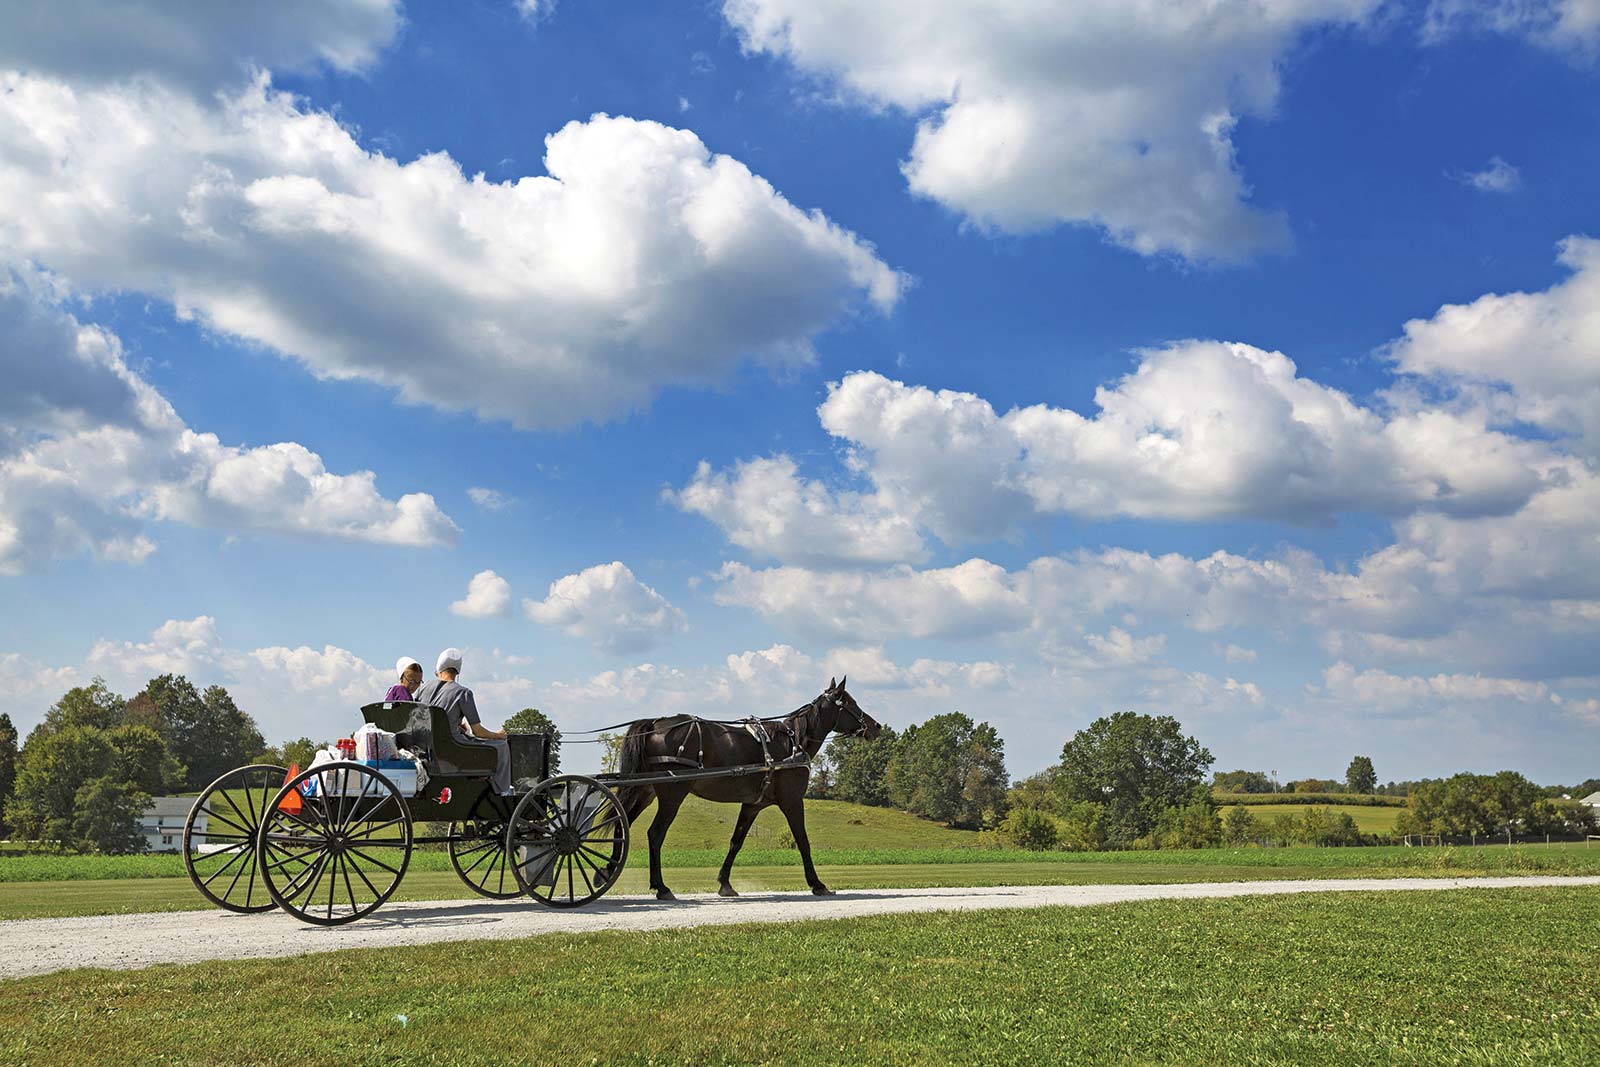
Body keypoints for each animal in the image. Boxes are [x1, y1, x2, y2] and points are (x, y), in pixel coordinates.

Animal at [617, 675, 883, 902]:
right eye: (850, 703)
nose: (877, 726)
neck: (792, 743)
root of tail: (656, 723)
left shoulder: (753, 805)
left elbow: (736, 841)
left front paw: (725, 884)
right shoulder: (792, 801)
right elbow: (803, 841)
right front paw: (817, 884)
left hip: (644, 793)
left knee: (622, 826)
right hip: (673, 795)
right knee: (655, 833)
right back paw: (661, 887)